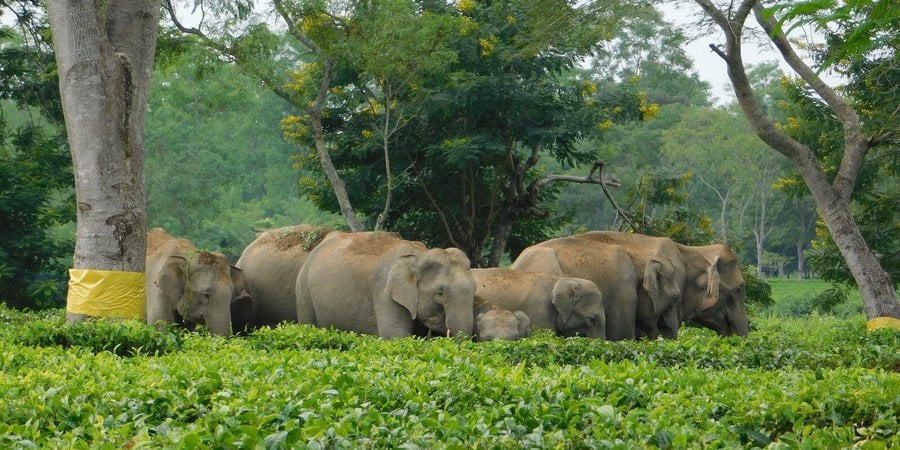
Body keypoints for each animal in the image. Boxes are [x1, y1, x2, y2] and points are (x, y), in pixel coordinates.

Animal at [295, 231, 476, 338]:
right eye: (440, 292)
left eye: (474, 291)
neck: (420, 254)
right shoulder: (385, 294)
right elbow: (395, 336)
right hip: (304, 292)